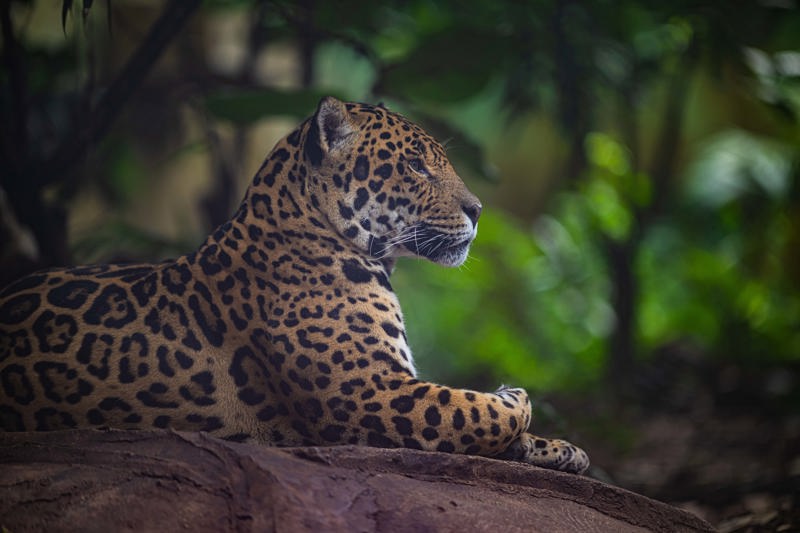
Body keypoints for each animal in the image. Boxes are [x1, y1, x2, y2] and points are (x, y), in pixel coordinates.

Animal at [0, 96, 589, 474]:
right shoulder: (374, 395)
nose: (479, 209)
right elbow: (483, 410)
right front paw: (515, 396)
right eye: (416, 167)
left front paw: (563, 450)